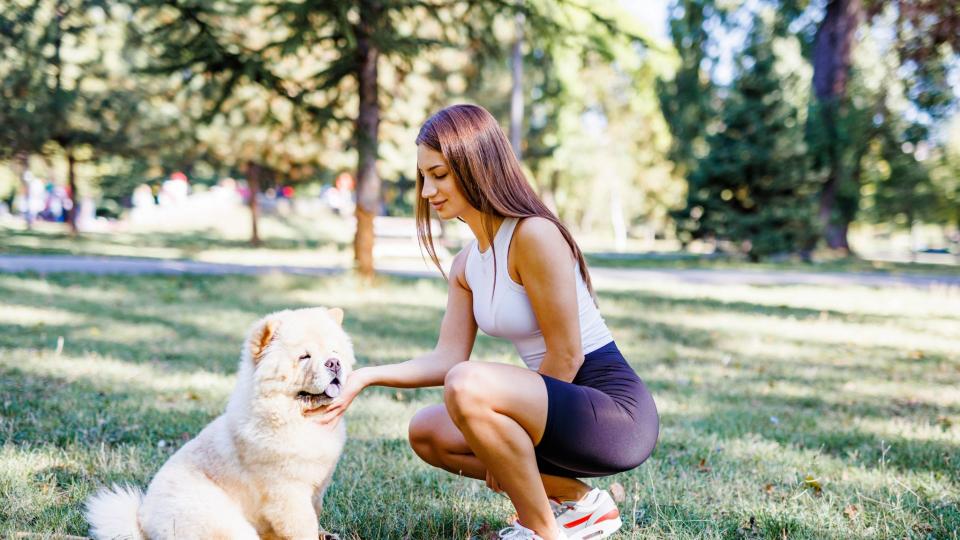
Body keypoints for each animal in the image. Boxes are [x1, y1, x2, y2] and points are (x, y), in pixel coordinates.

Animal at [85, 308, 352, 540]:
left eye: (335, 351)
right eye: (304, 357)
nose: (333, 363)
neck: (299, 417)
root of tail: (143, 523)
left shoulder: (317, 488)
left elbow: (314, 514)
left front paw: (322, 532)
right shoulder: (287, 493)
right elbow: (303, 526)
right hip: (224, 522)